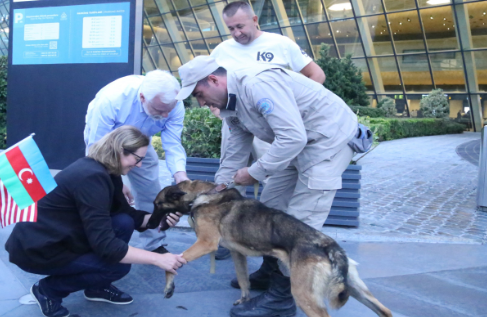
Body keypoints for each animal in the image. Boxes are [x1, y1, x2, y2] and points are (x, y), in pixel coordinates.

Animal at [149, 180, 392, 316]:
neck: (204, 194)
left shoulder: (205, 244)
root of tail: (328, 244)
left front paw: (169, 287)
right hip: (356, 289)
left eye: (157, 204)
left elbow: (173, 263)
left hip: (303, 293)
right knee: (385, 310)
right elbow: (244, 280)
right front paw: (245, 302)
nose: (148, 224)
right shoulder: (238, 253)